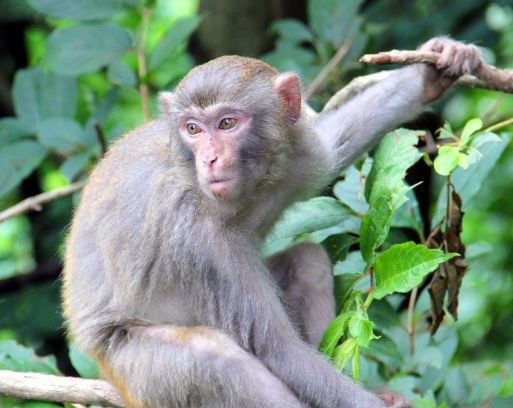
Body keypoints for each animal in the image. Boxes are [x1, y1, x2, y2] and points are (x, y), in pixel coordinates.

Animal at [62, 36, 482, 406]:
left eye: (227, 123)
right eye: (193, 129)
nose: (209, 159)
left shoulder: (297, 153)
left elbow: (338, 139)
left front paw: (431, 73)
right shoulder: (194, 237)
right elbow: (274, 348)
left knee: (308, 263)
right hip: (129, 362)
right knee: (214, 357)